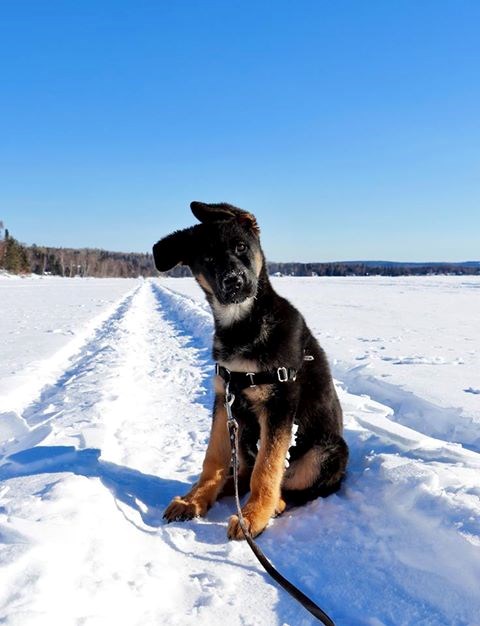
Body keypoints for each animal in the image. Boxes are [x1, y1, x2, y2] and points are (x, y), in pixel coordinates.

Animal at [154, 202, 348, 540]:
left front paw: (254, 515)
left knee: (292, 486)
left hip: (327, 451)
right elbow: (213, 458)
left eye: (241, 247)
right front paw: (195, 499)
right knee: (240, 472)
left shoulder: (280, 402)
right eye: (208, 259)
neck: (243, 328)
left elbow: (267, 468)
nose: (233, 281)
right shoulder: (224, 398)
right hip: (243, 432)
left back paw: (275, 505)